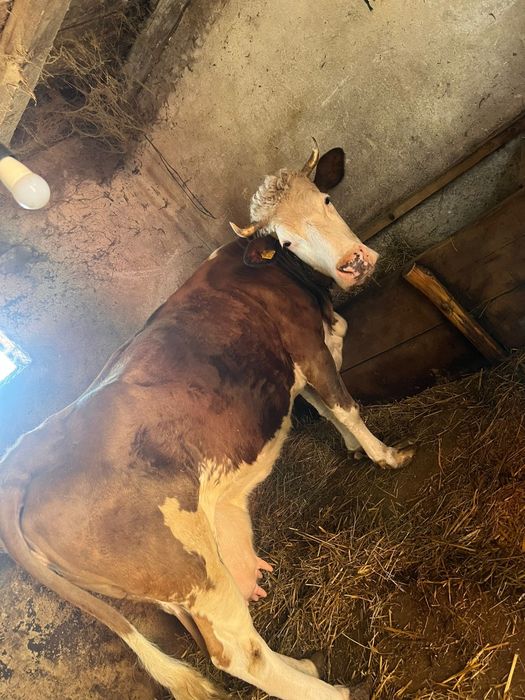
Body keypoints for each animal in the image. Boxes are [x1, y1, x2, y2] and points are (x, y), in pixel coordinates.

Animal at [0, 142, 414, 700]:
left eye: (326, 200)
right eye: (284, 240)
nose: (354, 264)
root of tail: (22, 455)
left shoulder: (294, 363)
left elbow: (326, 406)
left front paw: (353, 448)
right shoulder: (306, 344)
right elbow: (342, 402)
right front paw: (385, 455)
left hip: (169, 589)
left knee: (215, 641)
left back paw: (305, 666)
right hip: (190, 570)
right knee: (237, 653)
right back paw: (334, 691)